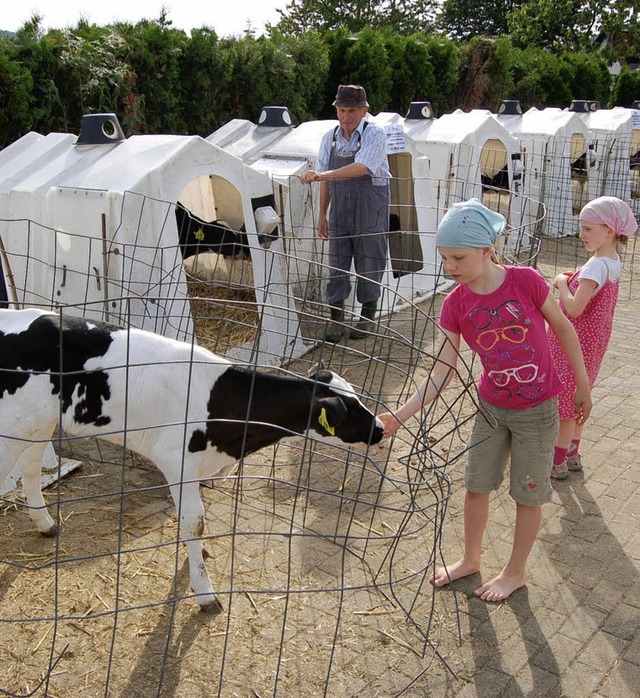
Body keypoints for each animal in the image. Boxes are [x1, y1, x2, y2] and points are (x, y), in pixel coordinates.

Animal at [0, 310, 382, 608]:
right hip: (12, 428)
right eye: (348, 412)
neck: (220, 402)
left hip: (38, 423)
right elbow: (192, 523)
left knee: (31, 467)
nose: (380, 427)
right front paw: (204, 591)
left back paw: (46, 524)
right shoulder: (177, 462)